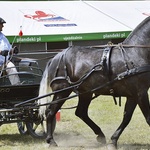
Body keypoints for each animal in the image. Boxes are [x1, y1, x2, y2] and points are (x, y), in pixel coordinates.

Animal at [37, 15, 150, 149]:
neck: (135, 52)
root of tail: (56, 57)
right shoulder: (141, 93)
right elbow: (148, 118)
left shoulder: (134, 94)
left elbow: (127, 117)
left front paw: (113, 140)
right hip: (62, 91)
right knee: (50, 112)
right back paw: (51, 141)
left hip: (85, 92)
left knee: (80, 112)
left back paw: (100, 135)